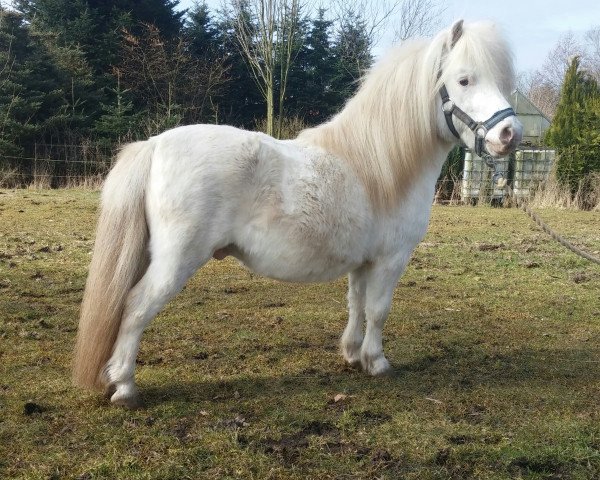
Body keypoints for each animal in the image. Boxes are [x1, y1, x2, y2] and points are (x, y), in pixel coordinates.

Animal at [74, 20, 520, 406]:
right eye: (464, 80)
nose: (510, 134)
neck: (380, 165)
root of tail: (154, 145)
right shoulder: (391, 259)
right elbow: (378, 310)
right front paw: (377, 362)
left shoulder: (363, 262)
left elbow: (357, 305)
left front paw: (352, 355)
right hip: (175, 261)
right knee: (134, 307)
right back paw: (125, 387)